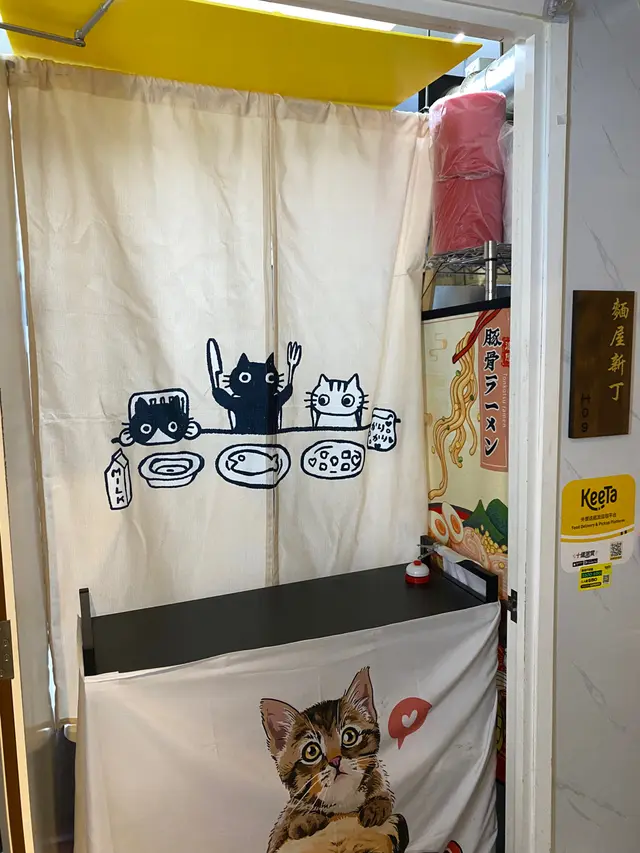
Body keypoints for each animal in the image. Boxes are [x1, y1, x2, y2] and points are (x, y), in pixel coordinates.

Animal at [260, 668, 403, 853]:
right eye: (311, 751)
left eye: (349, 736)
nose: (335, 760)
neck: (343, 804)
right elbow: (289, 823)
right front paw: (305, 821)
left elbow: (382, 795)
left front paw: (377, 806)